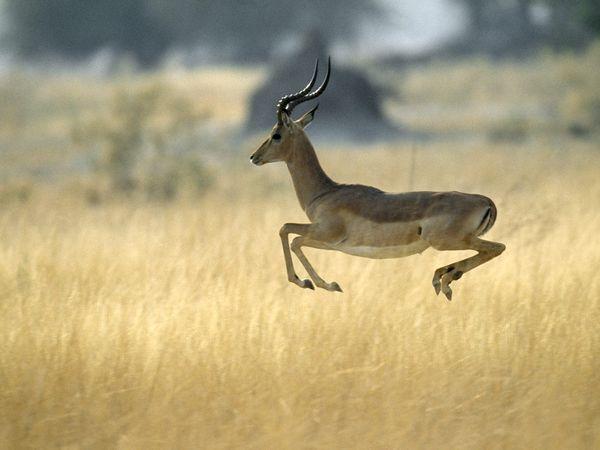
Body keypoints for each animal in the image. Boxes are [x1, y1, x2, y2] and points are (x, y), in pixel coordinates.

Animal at [250, 58, 506, 300]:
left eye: (276, 134)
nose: (254, 157)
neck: (325, 193)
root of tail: (486, 201)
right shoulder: (329, 242)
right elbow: (288, 232)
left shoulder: (326, 235)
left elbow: (288, 233)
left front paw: (318, 283)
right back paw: (444, 278)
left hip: (447, 241)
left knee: (497, 247)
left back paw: (444, 279)